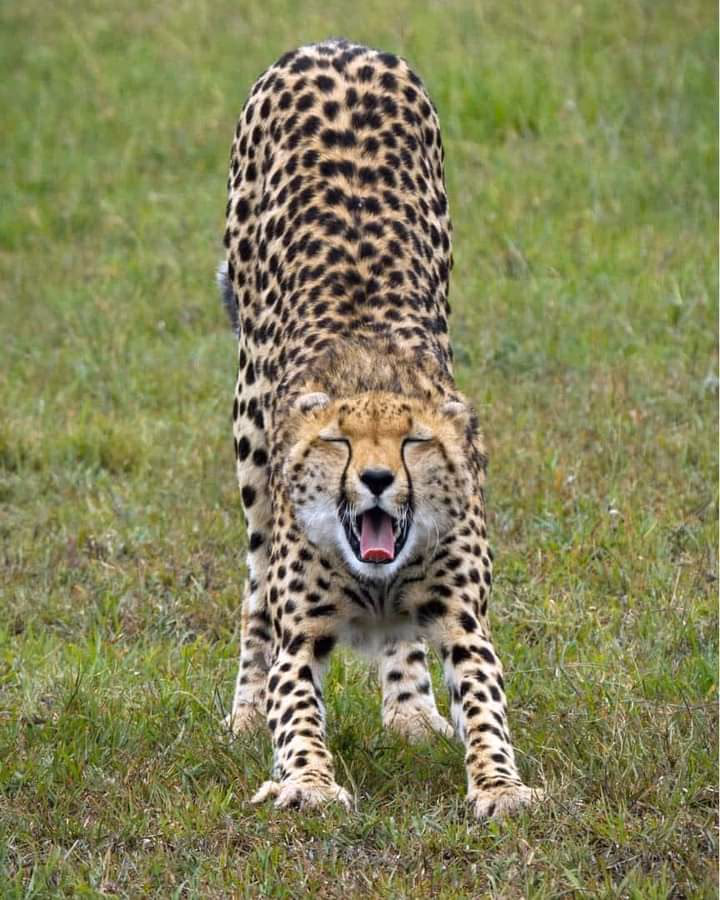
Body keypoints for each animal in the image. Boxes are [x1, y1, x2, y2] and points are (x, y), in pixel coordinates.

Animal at [219, 38, 540, 819]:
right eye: (337, 440)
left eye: (413, 440)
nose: (374, 479)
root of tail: (334, 45)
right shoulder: (301, 634)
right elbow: (296, 712)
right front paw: (306, 781)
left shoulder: (464, 623)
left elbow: (485, 708)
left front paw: (500, 786)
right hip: (249, 432)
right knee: (253, 586)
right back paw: (244, 709)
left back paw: (410, 710)